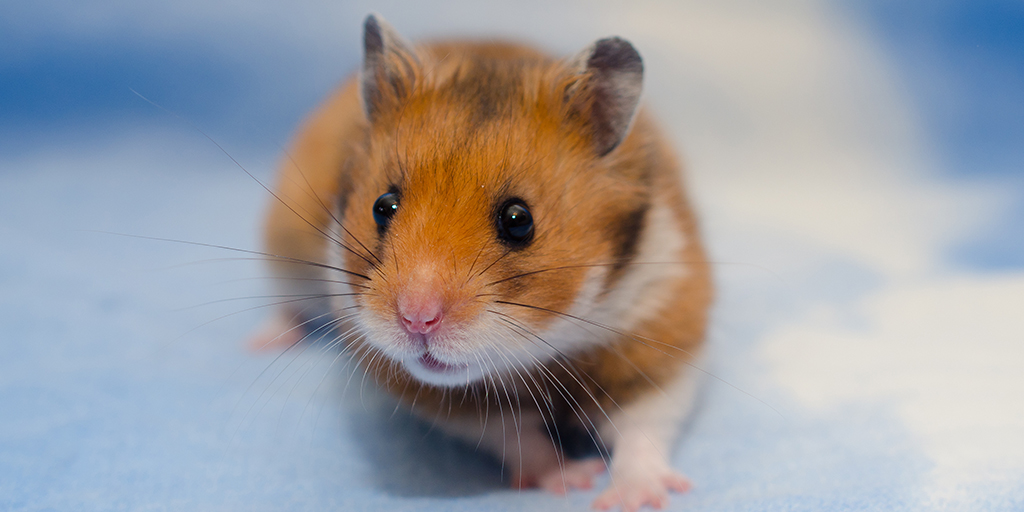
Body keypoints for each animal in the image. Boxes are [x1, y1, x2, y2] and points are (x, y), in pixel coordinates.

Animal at [253, 14, 712, 512]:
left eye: (518, 220)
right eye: (382, 206)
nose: (416, 320)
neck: (546, 346)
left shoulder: (661, 330)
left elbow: (643, 425)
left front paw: (633, 498)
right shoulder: (441, 396)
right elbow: (515, 436)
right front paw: (573, 479)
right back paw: (262, 343)